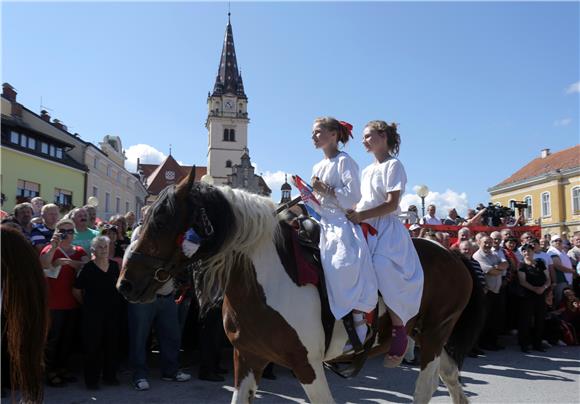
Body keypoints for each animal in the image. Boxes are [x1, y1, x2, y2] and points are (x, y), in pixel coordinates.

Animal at [116, 170, 484, 404]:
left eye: (161, 221)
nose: (125, 283)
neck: (265, 282)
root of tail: (453, 253)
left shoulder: (306, 365)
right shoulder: (247, 358)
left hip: (435, 333)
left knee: (426, 388)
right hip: (430, 336)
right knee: (450, 378)